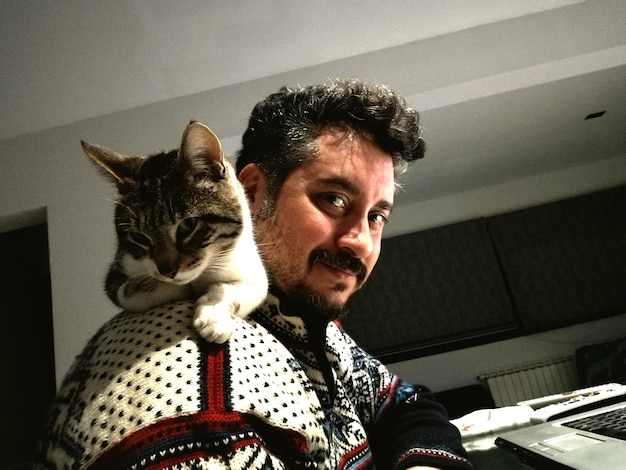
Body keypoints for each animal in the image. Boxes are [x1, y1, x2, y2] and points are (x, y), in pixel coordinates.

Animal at [81, 119, 266, 344]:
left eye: (189, 224)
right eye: (138, 236)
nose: (167, 272)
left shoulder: (254, 275)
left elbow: (231, 288)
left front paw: (214, 317)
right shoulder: (118, 271)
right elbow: (133, 291)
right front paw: (173, 288)